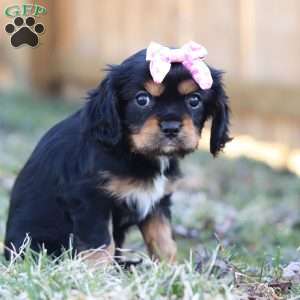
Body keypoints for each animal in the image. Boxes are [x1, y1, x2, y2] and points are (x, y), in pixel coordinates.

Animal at [3, 42, 231, 262]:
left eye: (194, 100)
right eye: (142, 99)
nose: (171, 127)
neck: (133, 151)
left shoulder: (157, 204)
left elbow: (163, 241)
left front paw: (172, 270)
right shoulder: (90, 200)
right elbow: (100, 244)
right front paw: (97, 273)